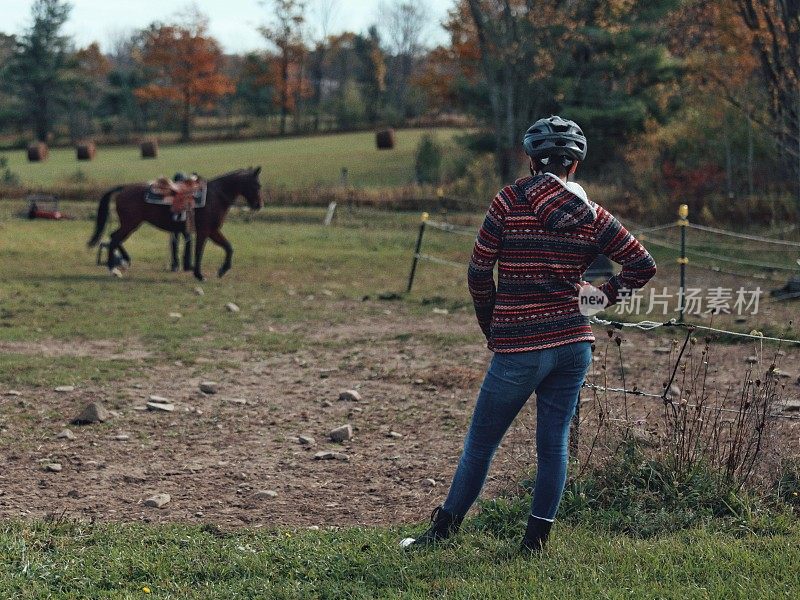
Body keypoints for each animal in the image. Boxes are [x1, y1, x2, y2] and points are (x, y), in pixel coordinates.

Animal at [88, 166, 262, 282]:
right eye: (256, 185)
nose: (259, 205)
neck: (215, 196)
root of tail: (124, 188)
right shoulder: (205, 230)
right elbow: (199, 251)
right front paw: (199, 275)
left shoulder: (213, 230)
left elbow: (228, 247)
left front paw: (222, 270)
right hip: (130, 224)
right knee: (114, 239)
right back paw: (114, 269)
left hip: (130, 224)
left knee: (113, 238)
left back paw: (123, 261)